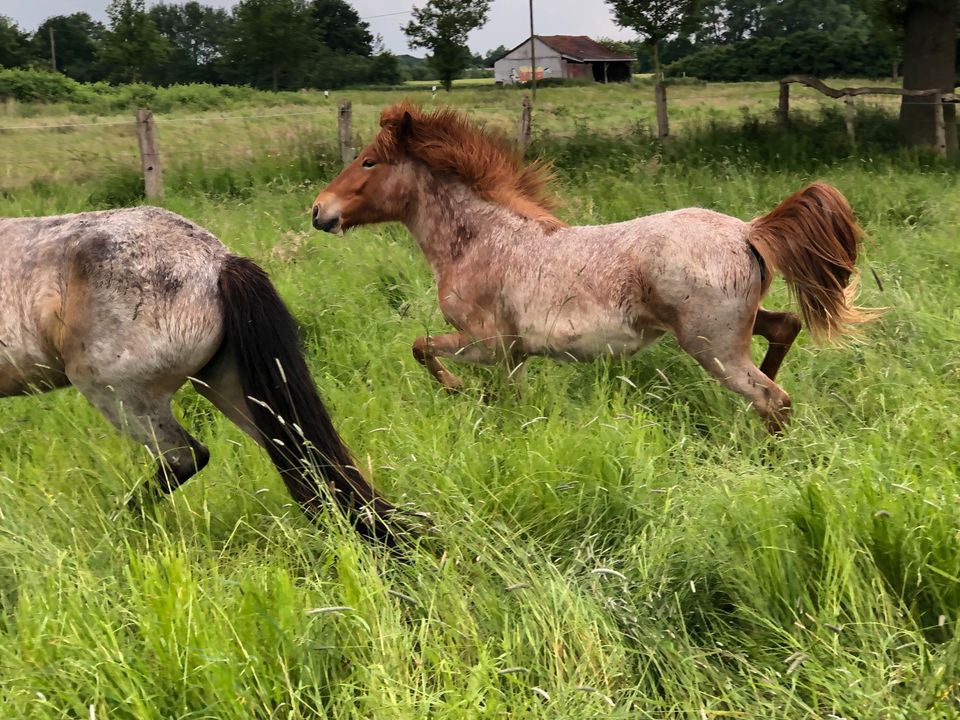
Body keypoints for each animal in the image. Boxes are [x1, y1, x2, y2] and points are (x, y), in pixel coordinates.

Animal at [0, 208, 402, 544]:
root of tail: (218, 262)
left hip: (119, 396)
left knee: (186, 457)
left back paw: (116, 527)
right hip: (232, 389)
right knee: (308, 463)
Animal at [314, 102, 876, 434]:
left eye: (368, 161)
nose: (319, 211)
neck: (479, 240)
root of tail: (748, 232)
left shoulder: (488, 343)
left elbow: (422, 346)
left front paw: (455, 389)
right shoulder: (513, 354)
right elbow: (506, 396)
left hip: (711, 346)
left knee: (773, 398)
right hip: (732, 329)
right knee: (785, 328)